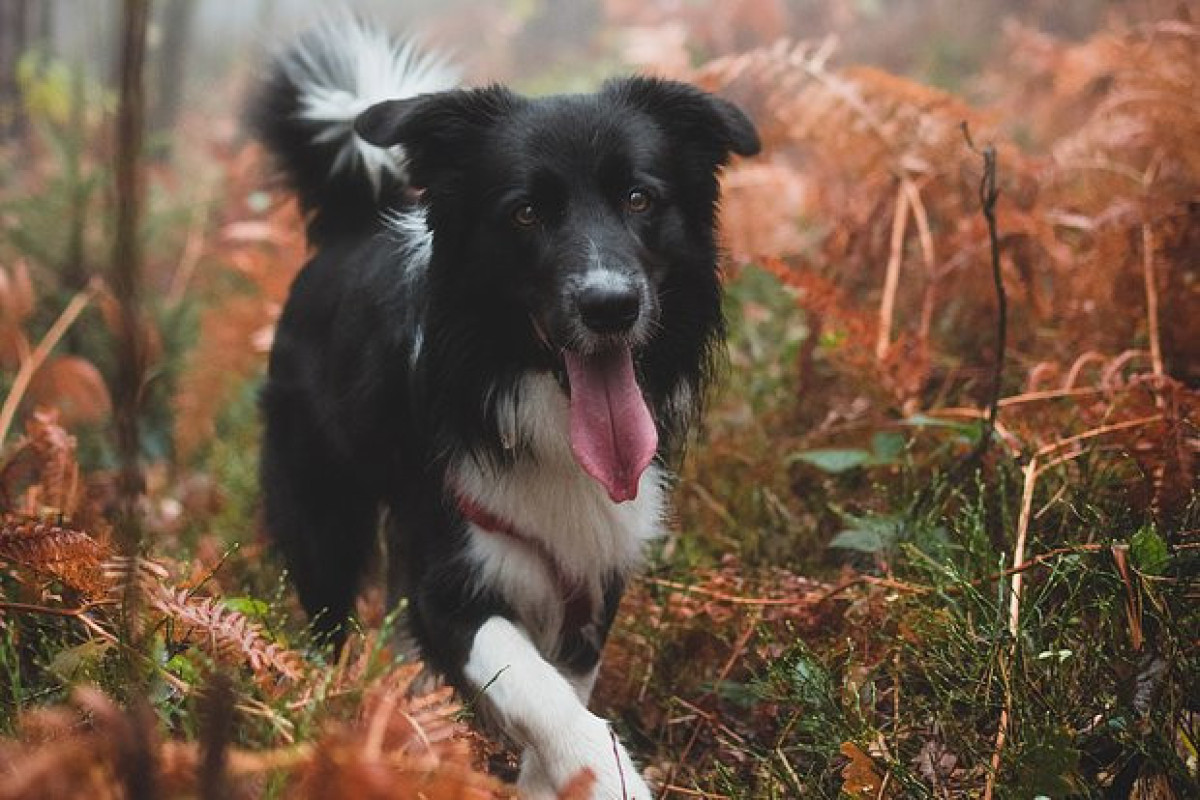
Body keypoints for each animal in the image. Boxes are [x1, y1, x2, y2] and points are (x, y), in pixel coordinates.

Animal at [253, 18, 758, 800]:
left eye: (640, 199)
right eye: (525, 212)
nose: (611, 306)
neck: (534, 401)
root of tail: (352, 224)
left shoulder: (594, 568)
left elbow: (561, 687)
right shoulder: (447, 578)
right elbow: (533, 685)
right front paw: (605, 771)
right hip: (320, 511)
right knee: (330, 619)